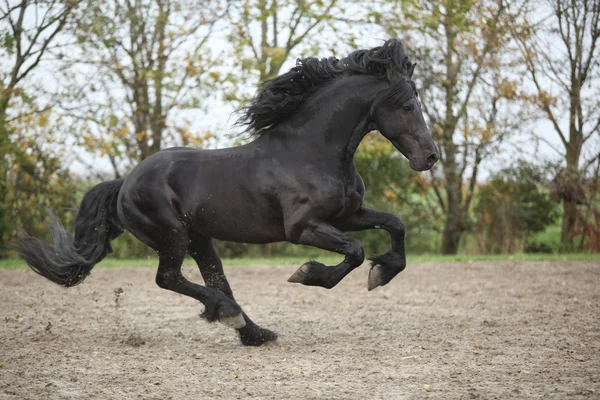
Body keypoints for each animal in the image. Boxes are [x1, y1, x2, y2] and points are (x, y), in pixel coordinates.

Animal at [16, 38, 438, 346]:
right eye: (405, 105)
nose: (430, 157)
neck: (312, 152)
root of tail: (125, 183)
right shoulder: (303, 228)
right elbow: (355, 250)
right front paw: (308, 274)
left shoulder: (348, 215)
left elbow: (395, 225)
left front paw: (382, 273)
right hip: (172, 235)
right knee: (170, 279)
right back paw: (228, 314)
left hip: (198, 237)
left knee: (214, 278)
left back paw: (253, 332)